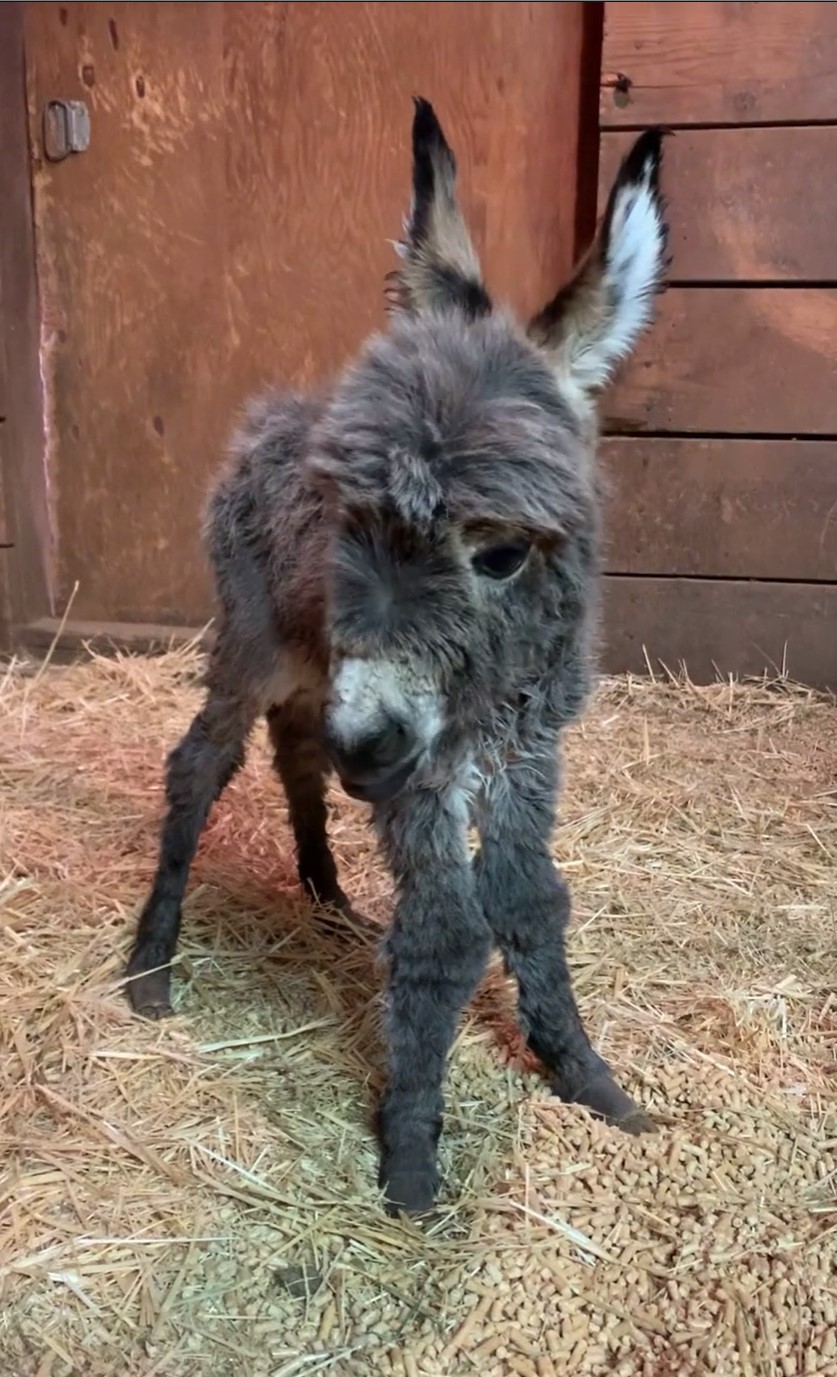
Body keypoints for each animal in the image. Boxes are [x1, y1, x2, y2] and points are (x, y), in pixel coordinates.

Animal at [127, 97, 669, 1217]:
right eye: (350, 519)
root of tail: (269, 417)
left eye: (500, 551)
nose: (368, 748)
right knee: (202, 763)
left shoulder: (524, 751)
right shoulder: (422, 773)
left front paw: (586, 1075)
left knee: (293, 750)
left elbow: (531, 900)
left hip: (307, 666)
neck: (484, 695)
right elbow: (446, 932)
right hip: (254, 642)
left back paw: (325, 891)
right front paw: (413, 1153)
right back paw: (151, 965)